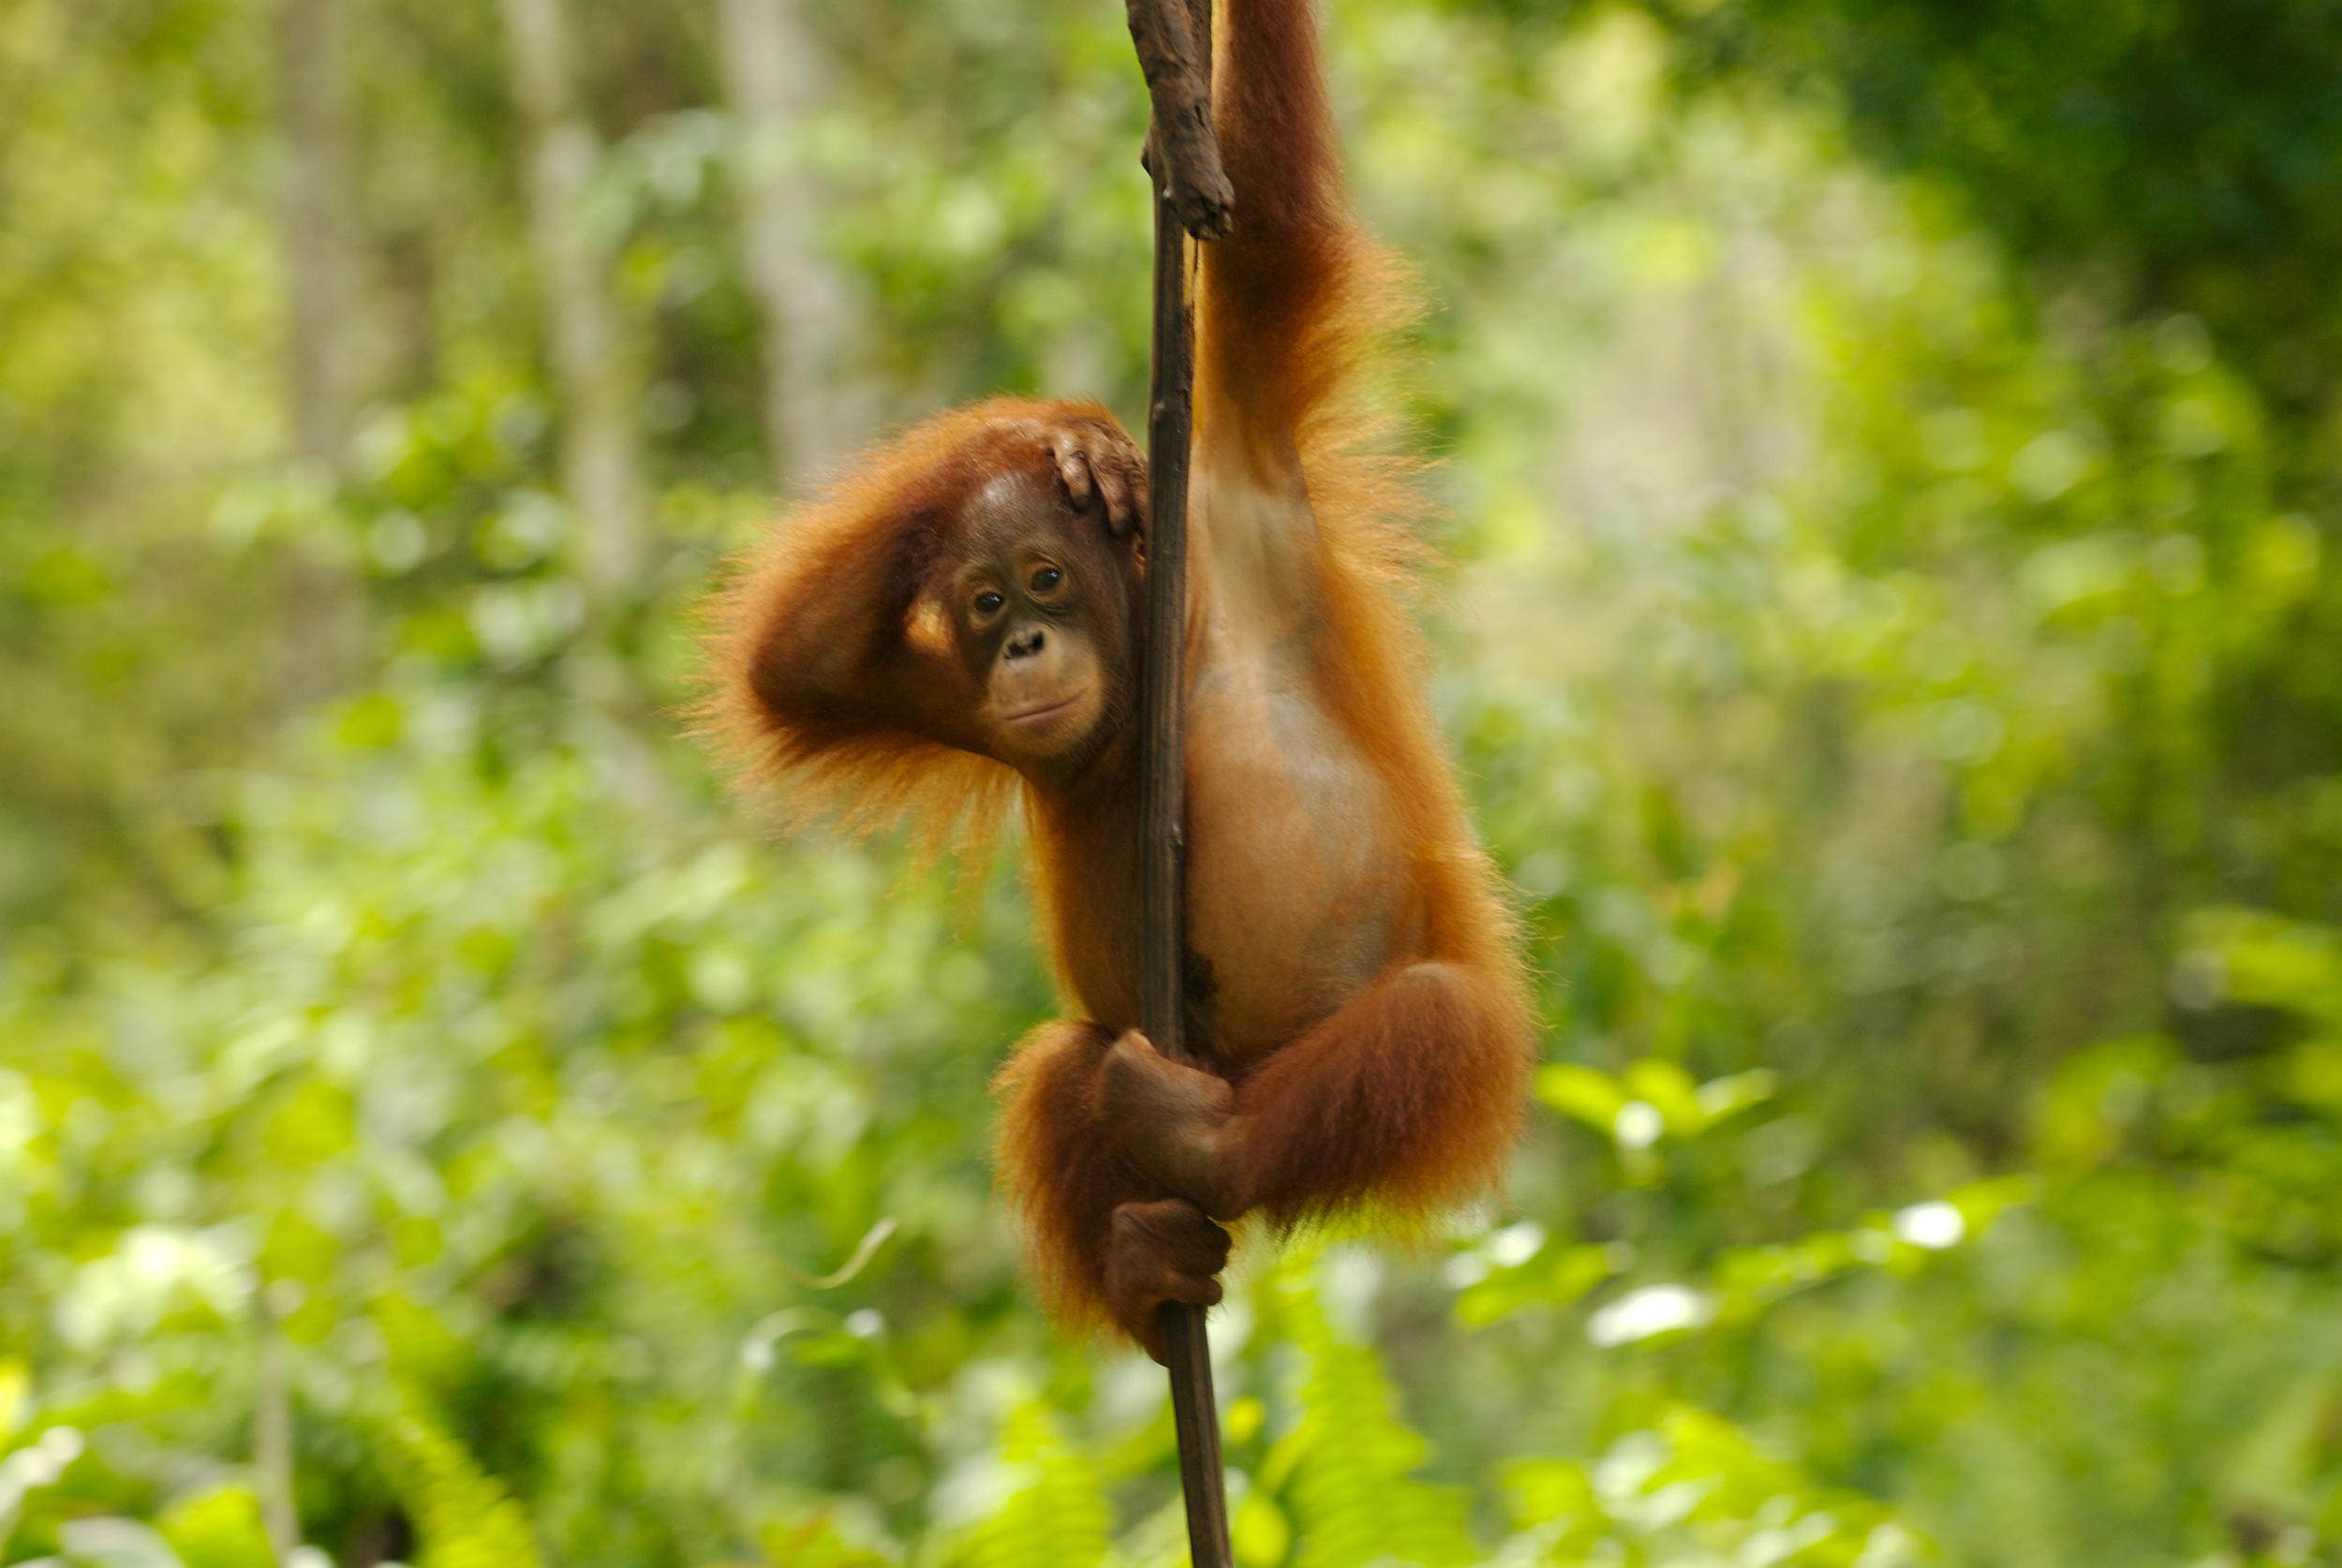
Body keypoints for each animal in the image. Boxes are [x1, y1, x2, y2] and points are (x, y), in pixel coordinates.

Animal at [703, 0, 1534, 1361]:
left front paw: (1082, 442)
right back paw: (1146, 1270)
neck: (1160, 659)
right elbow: (796, 667)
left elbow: (1264, 230)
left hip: (1423, 1064)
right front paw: (1048, 435)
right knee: (1065, 1065)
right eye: (987, 604)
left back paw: (1210, 1144)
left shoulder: (1241, 474)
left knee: (1434, 1017)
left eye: (1046, 578)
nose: (1024, 648)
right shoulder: (946, 695)